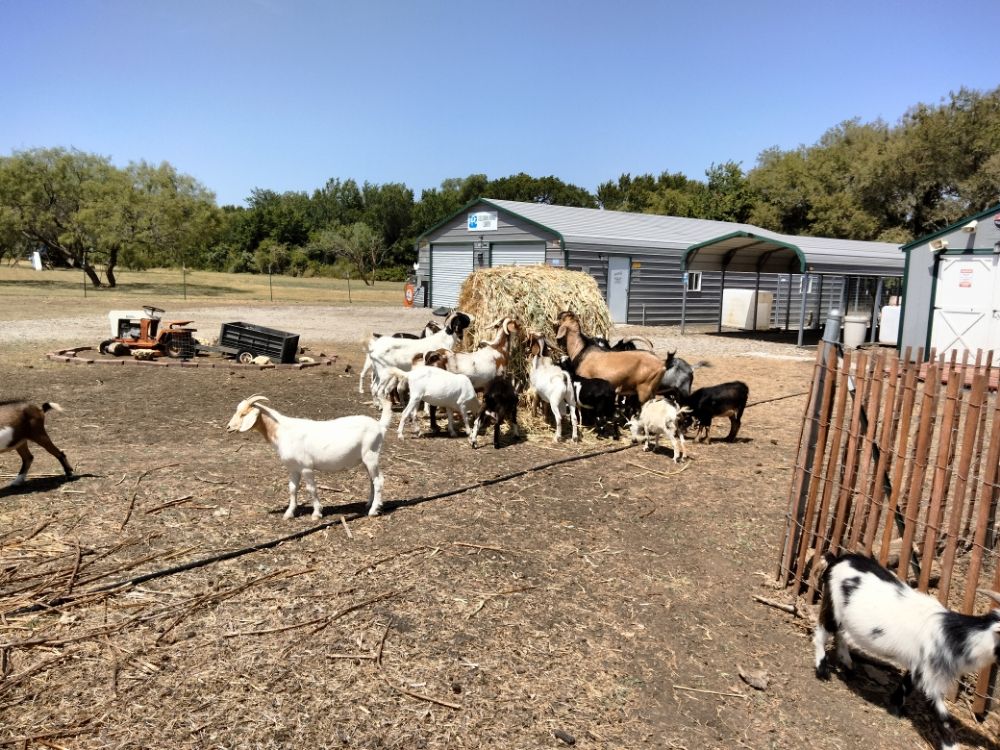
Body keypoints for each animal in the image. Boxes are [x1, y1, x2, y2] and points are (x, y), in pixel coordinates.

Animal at [226, 395, 391, 518]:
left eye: (243, 414)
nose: (228, 427)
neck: (283, 430)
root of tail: (380, 426)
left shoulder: (306, 467)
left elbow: (311, 488)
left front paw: (317, 513)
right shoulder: (293, 468)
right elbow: (292, 488)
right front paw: (289, 513)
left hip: (371, 455)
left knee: (379, 481)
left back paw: (373, 511)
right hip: (365, 459)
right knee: (372, 480)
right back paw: (370, 504)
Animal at [814, 553, 1000, 750]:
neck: (953, 635)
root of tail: (838, 559)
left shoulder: (919, 665)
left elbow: (907, 683)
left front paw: (895, 708)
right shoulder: (931, 677)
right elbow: (943, 716)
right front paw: (950, 745)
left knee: (841, 634)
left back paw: (848, 667)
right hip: (832, 605)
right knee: (822, 632)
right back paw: (822, 670)